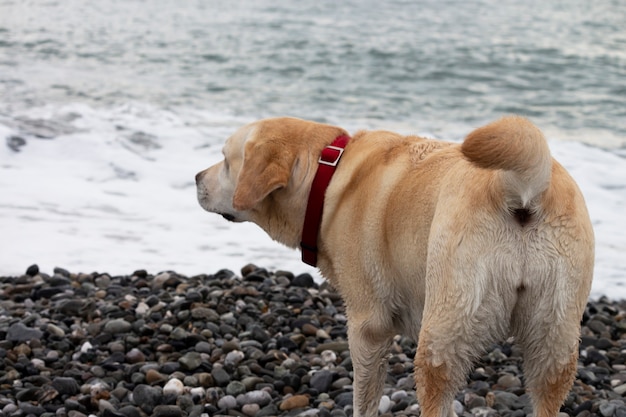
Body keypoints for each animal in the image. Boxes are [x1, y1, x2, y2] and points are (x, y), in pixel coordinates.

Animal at [194, 115, 588, 416]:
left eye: (225, 161)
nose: (196, 177)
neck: (329, 173)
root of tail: (521, 188)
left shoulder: (368, 327)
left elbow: (364, 397)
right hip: (554, 336)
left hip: (444, 332)